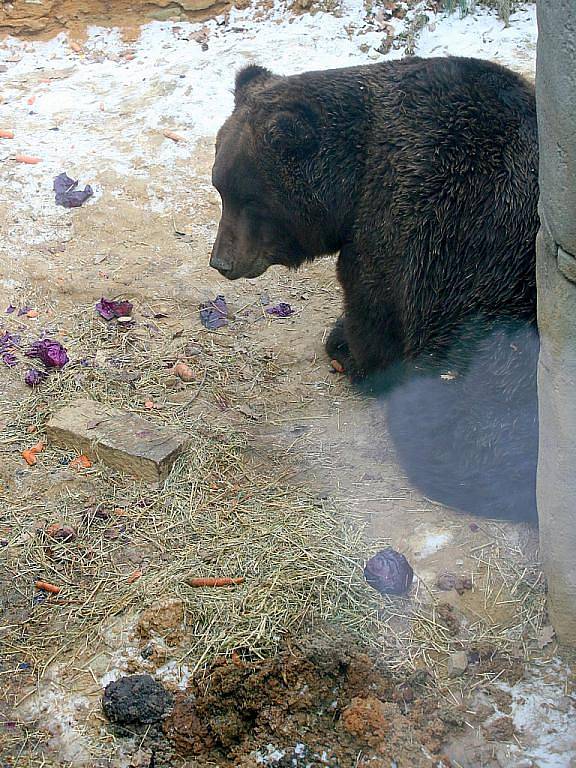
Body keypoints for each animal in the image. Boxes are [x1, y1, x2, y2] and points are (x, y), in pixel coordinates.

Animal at [210, 57, 540, 524]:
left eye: (250, 198)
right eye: (220, 187)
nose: (222, 261)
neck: (355, 173)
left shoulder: (406, 220)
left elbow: (373, 306)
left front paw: (348, 349)